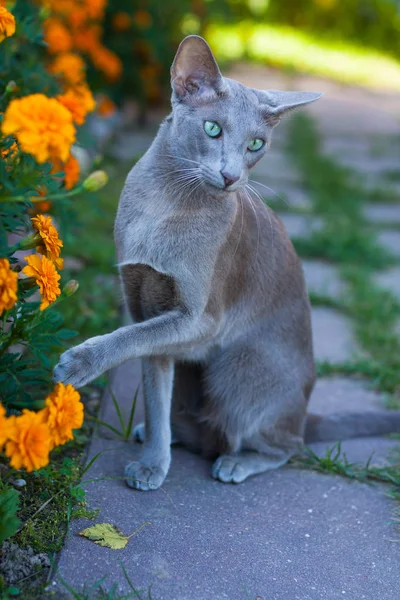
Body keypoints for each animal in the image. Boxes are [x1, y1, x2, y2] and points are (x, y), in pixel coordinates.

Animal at [54, 35, 400, 490]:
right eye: (212, 129)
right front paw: (152, 462)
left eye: (256, 145)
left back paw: (235, 464)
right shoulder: (144, 304)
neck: (166, 205)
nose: (231, 176)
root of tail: (303, 414)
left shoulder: (201, 319)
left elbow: (130, 338)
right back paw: (172, 434)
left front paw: (78, 363)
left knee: (284, 444)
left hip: (236, 368)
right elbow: (153, 386)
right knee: (191, 414)